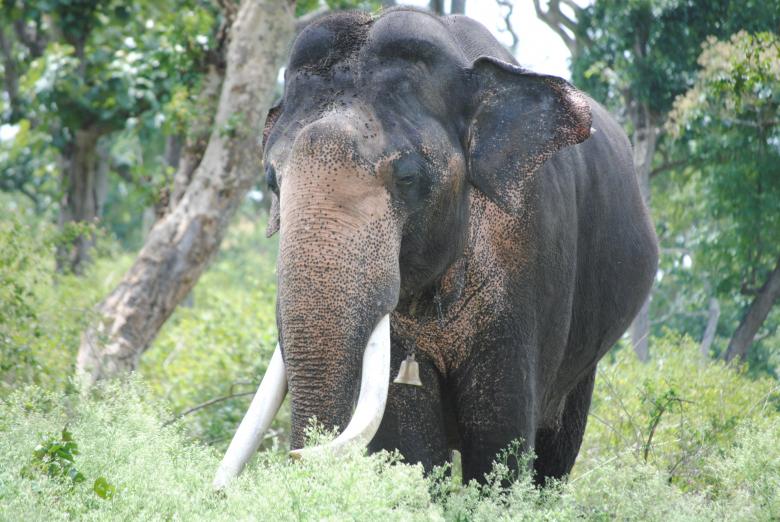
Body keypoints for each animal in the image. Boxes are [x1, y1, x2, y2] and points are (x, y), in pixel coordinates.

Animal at [214, 7, 658, 489]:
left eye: (408, 177)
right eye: (271, 182)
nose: (298, 454)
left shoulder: (533, 262)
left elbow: (500, 446)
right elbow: (411, 451)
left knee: (556, 453)